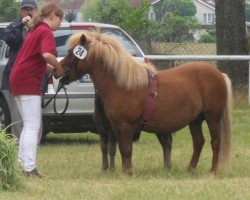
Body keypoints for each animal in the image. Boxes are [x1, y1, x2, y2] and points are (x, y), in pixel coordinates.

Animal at [60, 31, 232, 175]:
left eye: (70, 53)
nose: (57, 71)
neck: (121, 85)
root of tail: (219, 74)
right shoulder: (115, 128)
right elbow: (119, 149)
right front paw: (124, 170)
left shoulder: (125, 126)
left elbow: (127, 149)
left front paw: (128, 172)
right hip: (195, 120)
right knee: (198, 142)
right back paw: (190, 168)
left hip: (212, 117)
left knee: (215, 141)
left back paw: (213, 171)